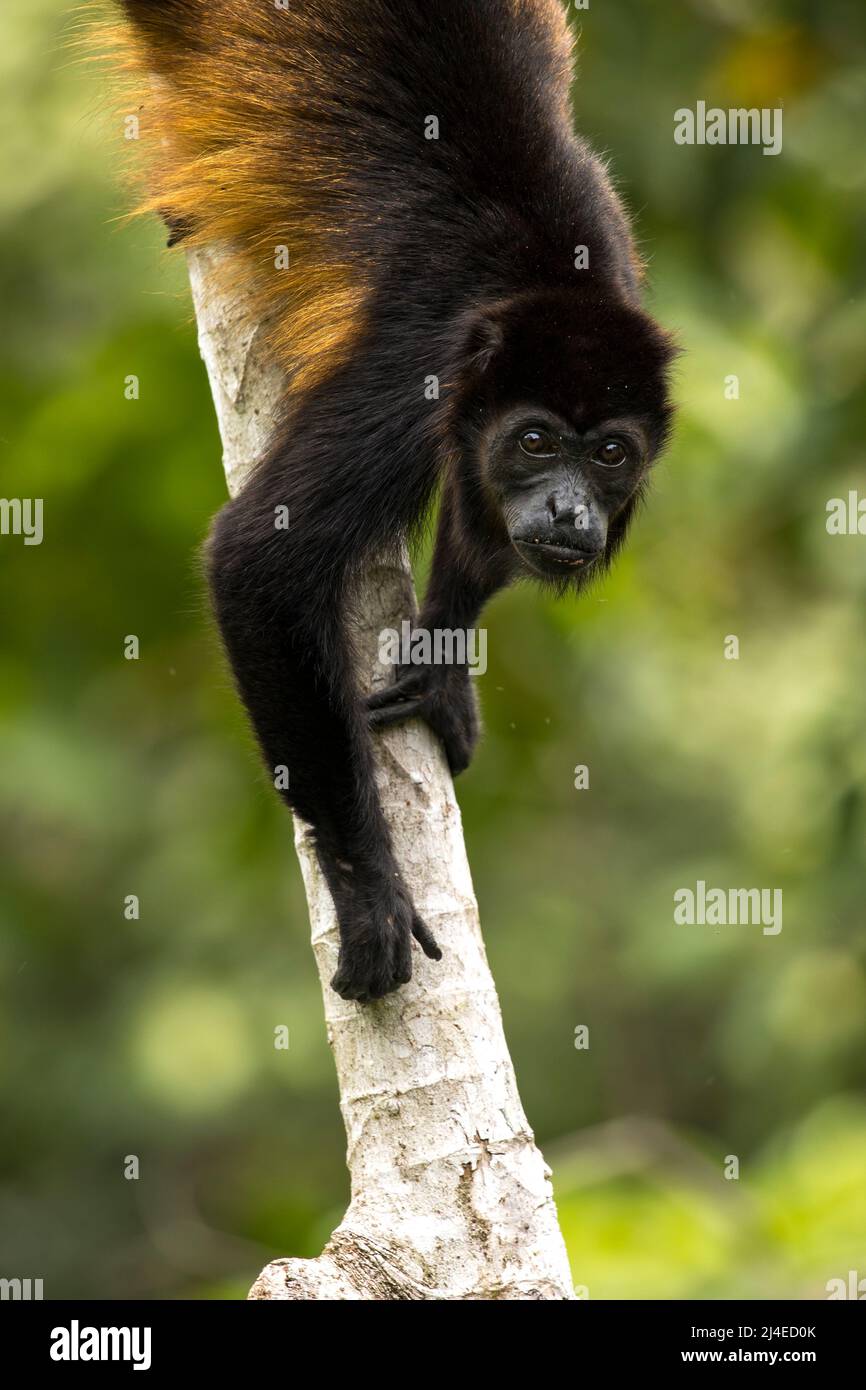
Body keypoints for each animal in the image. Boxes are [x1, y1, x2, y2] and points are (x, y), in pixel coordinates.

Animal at [109, 0, 678, 1000]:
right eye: (536, 441)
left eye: (612, 454)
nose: (569, 513)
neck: (541, 283)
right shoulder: (417, 373)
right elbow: (259, 557)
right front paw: (369, 888)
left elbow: (478, 534)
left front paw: (444, 662)